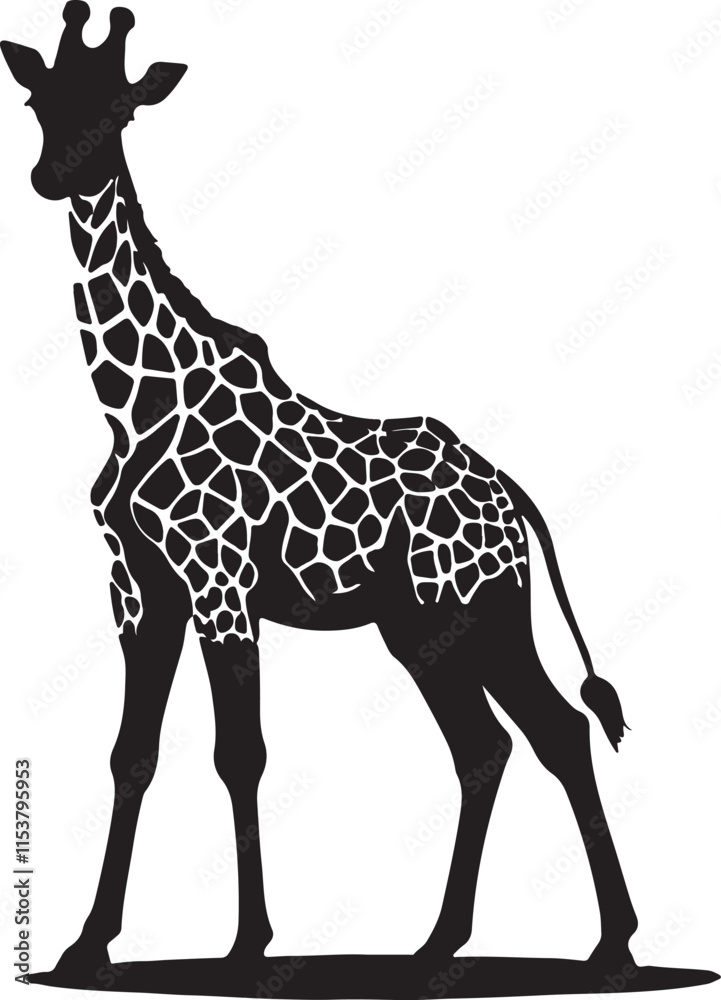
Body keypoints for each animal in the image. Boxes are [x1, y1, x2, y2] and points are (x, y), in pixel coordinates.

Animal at [2, 1, 639, 981]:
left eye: (122, 110)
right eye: (39, 100)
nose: (50, 176)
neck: (132, 404)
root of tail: (511, 497)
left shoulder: (220, 581)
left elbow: (239, 753)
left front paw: (247, 949)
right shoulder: (139, 590)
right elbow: (131, 753)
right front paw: (86, 945)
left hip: (471, 610)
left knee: (548, 733)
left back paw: (605, 947)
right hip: (427, 629)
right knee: (499, 744)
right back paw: (442, 946)